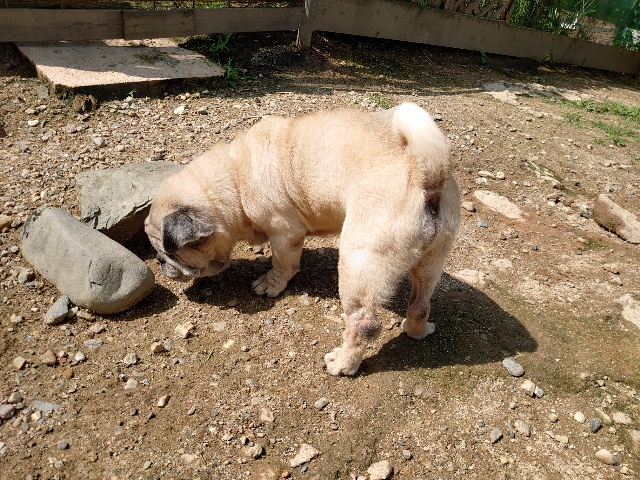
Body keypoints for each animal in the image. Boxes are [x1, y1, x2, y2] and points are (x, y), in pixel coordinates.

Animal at [145, 102, 460, 376]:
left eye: (168, 253)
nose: (160, 263)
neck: (234, 181)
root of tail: (425, 177)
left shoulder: (285, 234)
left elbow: (283, 264)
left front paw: (270, 284)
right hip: (432, 259)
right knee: (420, 302)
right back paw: (417, 330)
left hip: (360, 262)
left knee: (364, 324)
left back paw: (343, 363)